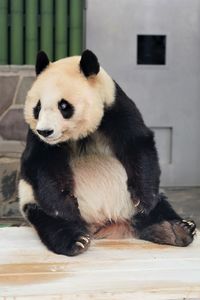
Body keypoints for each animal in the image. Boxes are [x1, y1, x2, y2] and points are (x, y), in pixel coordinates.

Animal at [18, 49, 196, 255]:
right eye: (37, 107)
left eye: (63, 106)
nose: (45, 131)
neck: (82, 134)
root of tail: (106, 224)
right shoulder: (36, 139)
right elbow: (39, 163)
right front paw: (64, 207)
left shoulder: (116, 108)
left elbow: (138, 144)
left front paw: (144, 199)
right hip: (32, 201)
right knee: (50, 223)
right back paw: (76, 241)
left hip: (133, 202)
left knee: (159, 208)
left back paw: (175, 230)